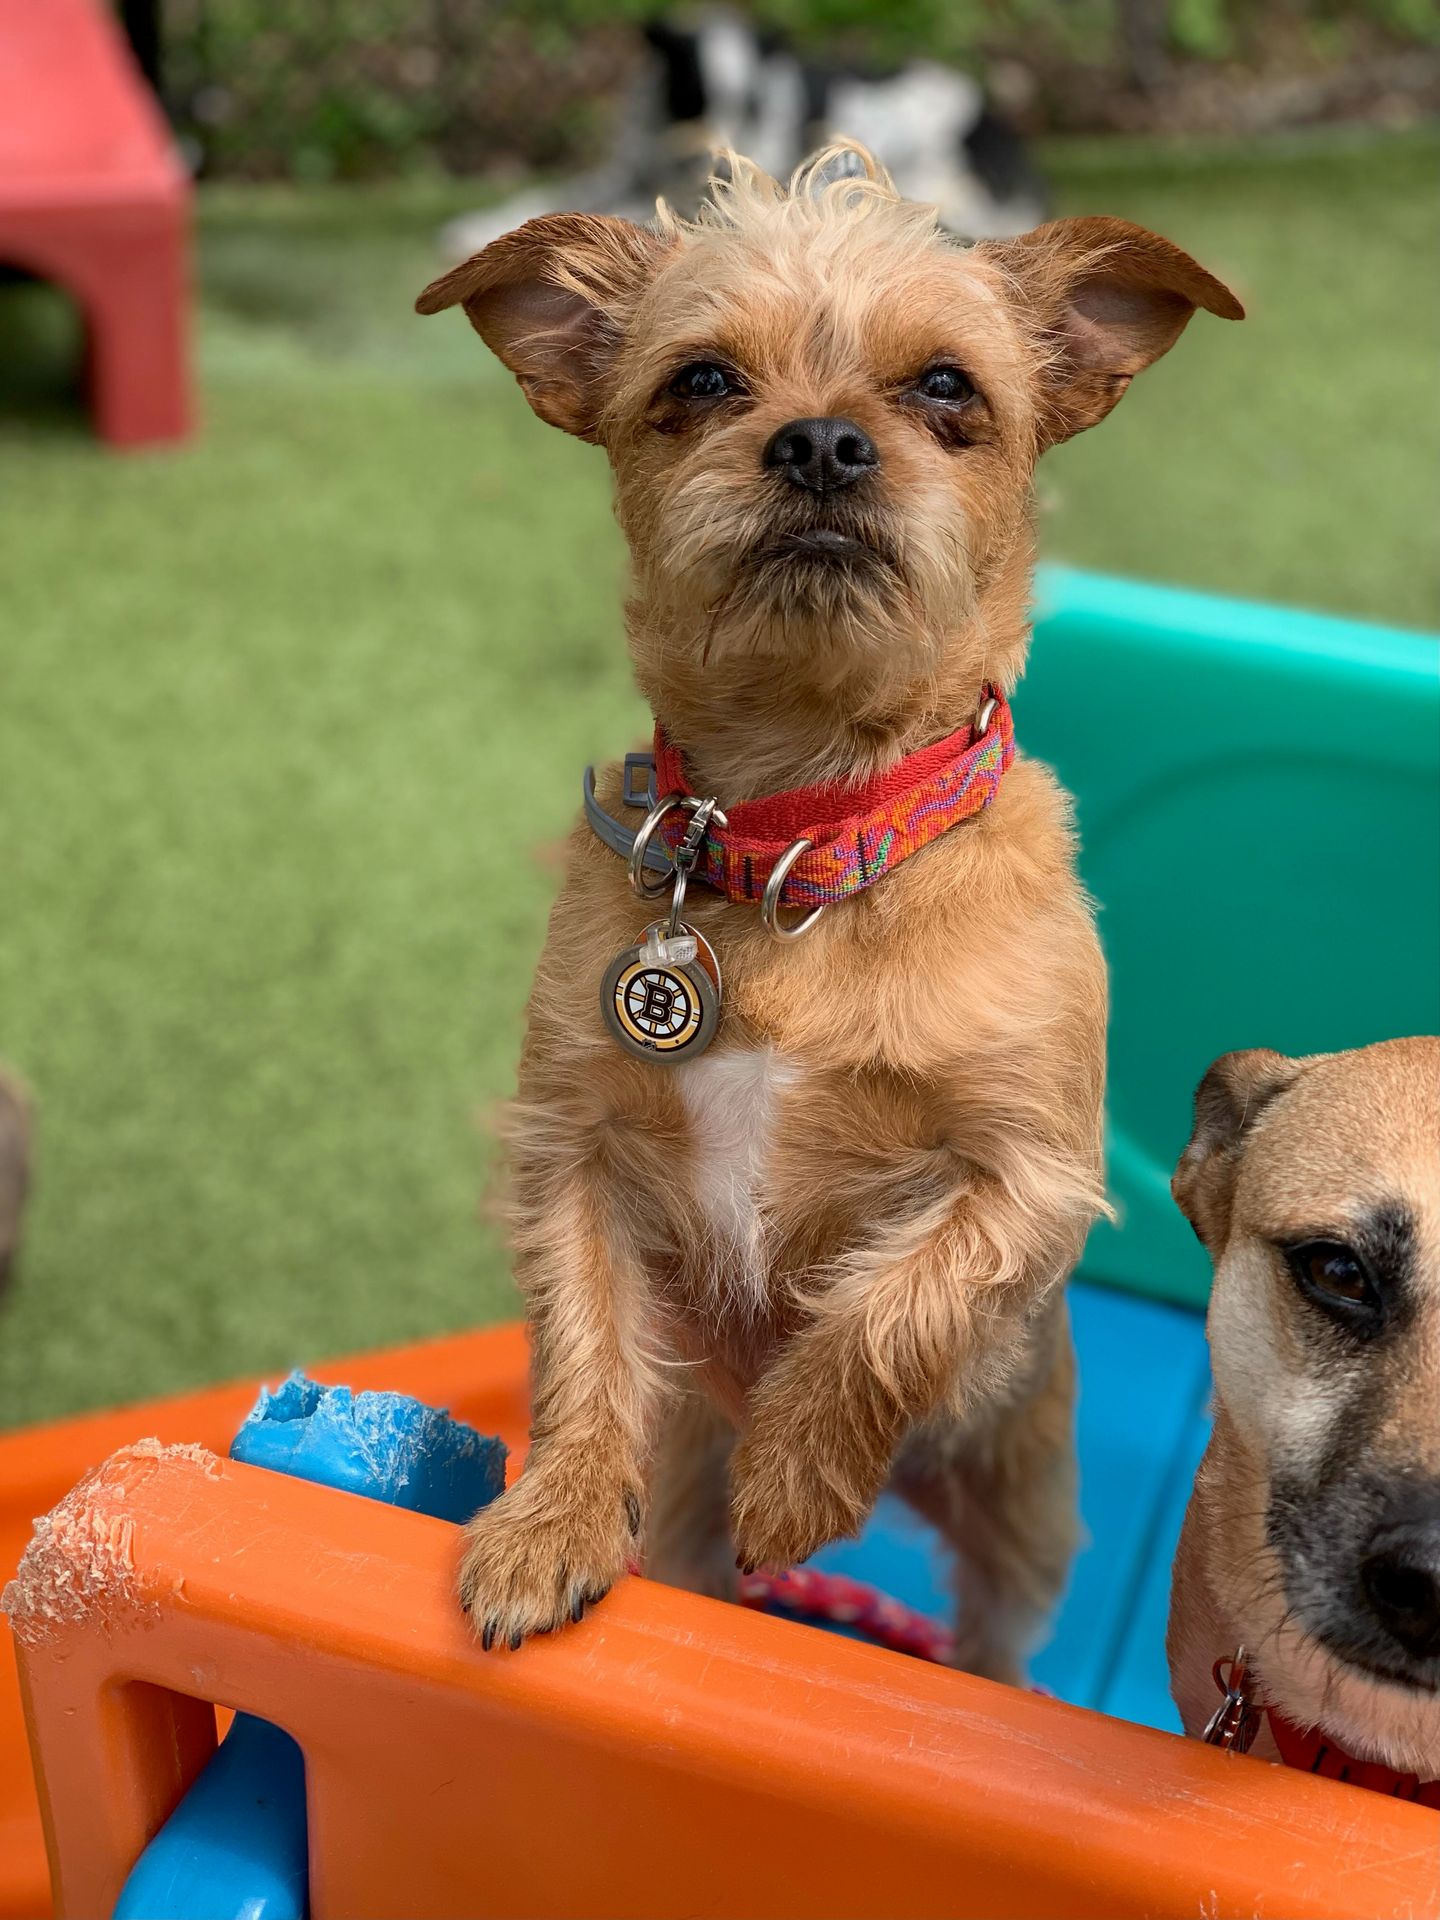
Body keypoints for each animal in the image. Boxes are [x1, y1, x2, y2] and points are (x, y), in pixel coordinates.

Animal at [416, 145, 1244, 1666]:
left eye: (945, 388)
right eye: (701, 381)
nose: (817, 444)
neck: (803, 843)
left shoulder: (1024, 1177)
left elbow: (887, 1312)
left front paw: (799, 1475)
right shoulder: (573, 1151)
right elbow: (583, 1349)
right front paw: (551, 1522)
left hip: (1021, 1490)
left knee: (994, 1636)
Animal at [439, 7, 1052, 259]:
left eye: (751, 103)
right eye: (694, 100)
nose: (717, 167)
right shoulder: (625, 171)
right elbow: (543, 195)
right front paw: (477, 226)